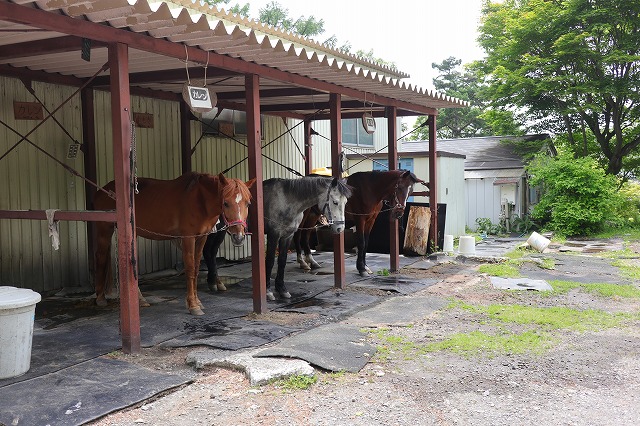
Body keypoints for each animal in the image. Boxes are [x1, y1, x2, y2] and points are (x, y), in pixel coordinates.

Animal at [93, 172, 255, 316]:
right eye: (226, 203)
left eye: (248, 203)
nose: (239, 237)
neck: (199, 199)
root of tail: (103, 190)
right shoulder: (188, 238)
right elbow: (190, 269)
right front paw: (193, 305)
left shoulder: (201, 238)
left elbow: (196, 269)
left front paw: (197, 301)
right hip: (104, 229)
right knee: (100, 257)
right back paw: (100, 298)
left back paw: (140, 299)